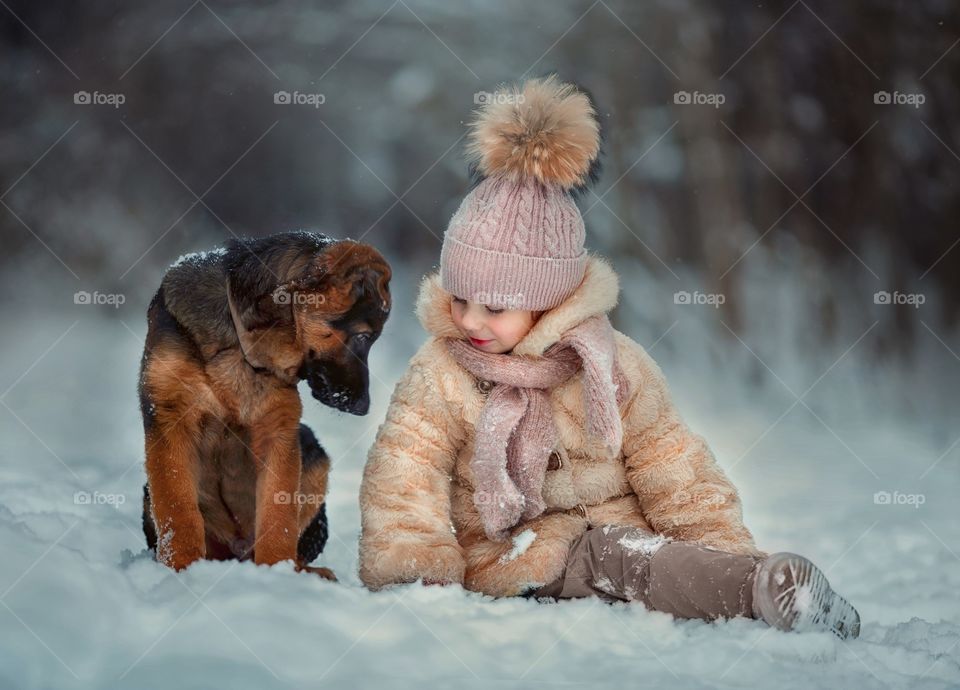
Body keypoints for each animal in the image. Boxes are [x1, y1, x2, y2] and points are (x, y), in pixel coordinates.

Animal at [138, 231, 390, 576]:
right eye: (365, 337)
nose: (364, 406)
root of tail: (236, 550)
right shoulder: (169, 420)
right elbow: (177, 508)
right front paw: (181, 568)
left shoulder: (279, 432)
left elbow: (277, 515)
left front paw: (277, 571)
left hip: (314, 454)